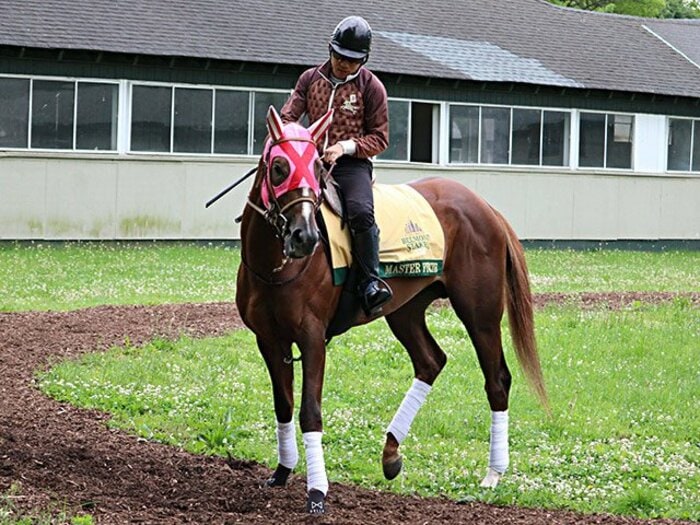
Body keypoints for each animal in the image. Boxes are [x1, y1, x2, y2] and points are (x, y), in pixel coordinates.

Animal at [235, 106, 549, 515]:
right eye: (279, 167)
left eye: (317, 166)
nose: (306, 236)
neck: (275, 268)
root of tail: (484, 206)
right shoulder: (269, 340)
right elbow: (283, 405)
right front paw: (282, 471)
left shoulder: (312, 338)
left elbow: (309, 412)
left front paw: (317, 491)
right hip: (405, 311)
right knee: (430, 362)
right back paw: (391, 452)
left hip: (479, 314)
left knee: (496, 379)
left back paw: (493, 473)